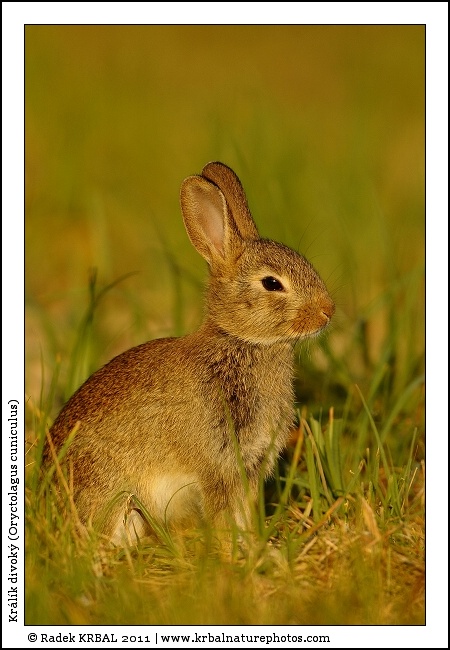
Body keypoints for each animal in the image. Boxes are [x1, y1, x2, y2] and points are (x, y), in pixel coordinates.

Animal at [44, 161, 335, 546]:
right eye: (272, 283)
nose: (328, 311)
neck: (240, 342)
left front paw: (252, 544)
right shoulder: (218, 467)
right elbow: (223, 513)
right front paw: (235, 550)